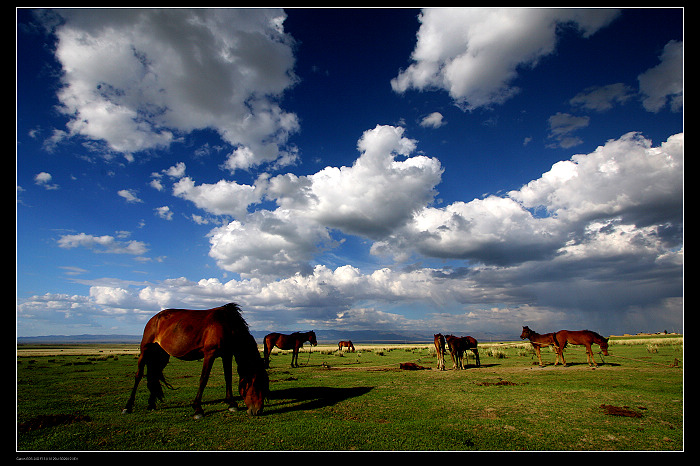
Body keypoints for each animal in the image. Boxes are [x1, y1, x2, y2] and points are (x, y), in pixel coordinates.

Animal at [122, 302, 268, 418]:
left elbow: (228, 378)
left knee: (154, 375)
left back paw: (151, 404)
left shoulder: (227, 354)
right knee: (138, 375)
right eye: (257, 383)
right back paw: (127, 407)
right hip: (145, 350)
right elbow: (204, 379)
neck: (228, 325)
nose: (258, 411)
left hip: (161, 355)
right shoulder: (210, 353)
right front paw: (198, 409)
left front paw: (232, 404)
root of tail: (154, 318)